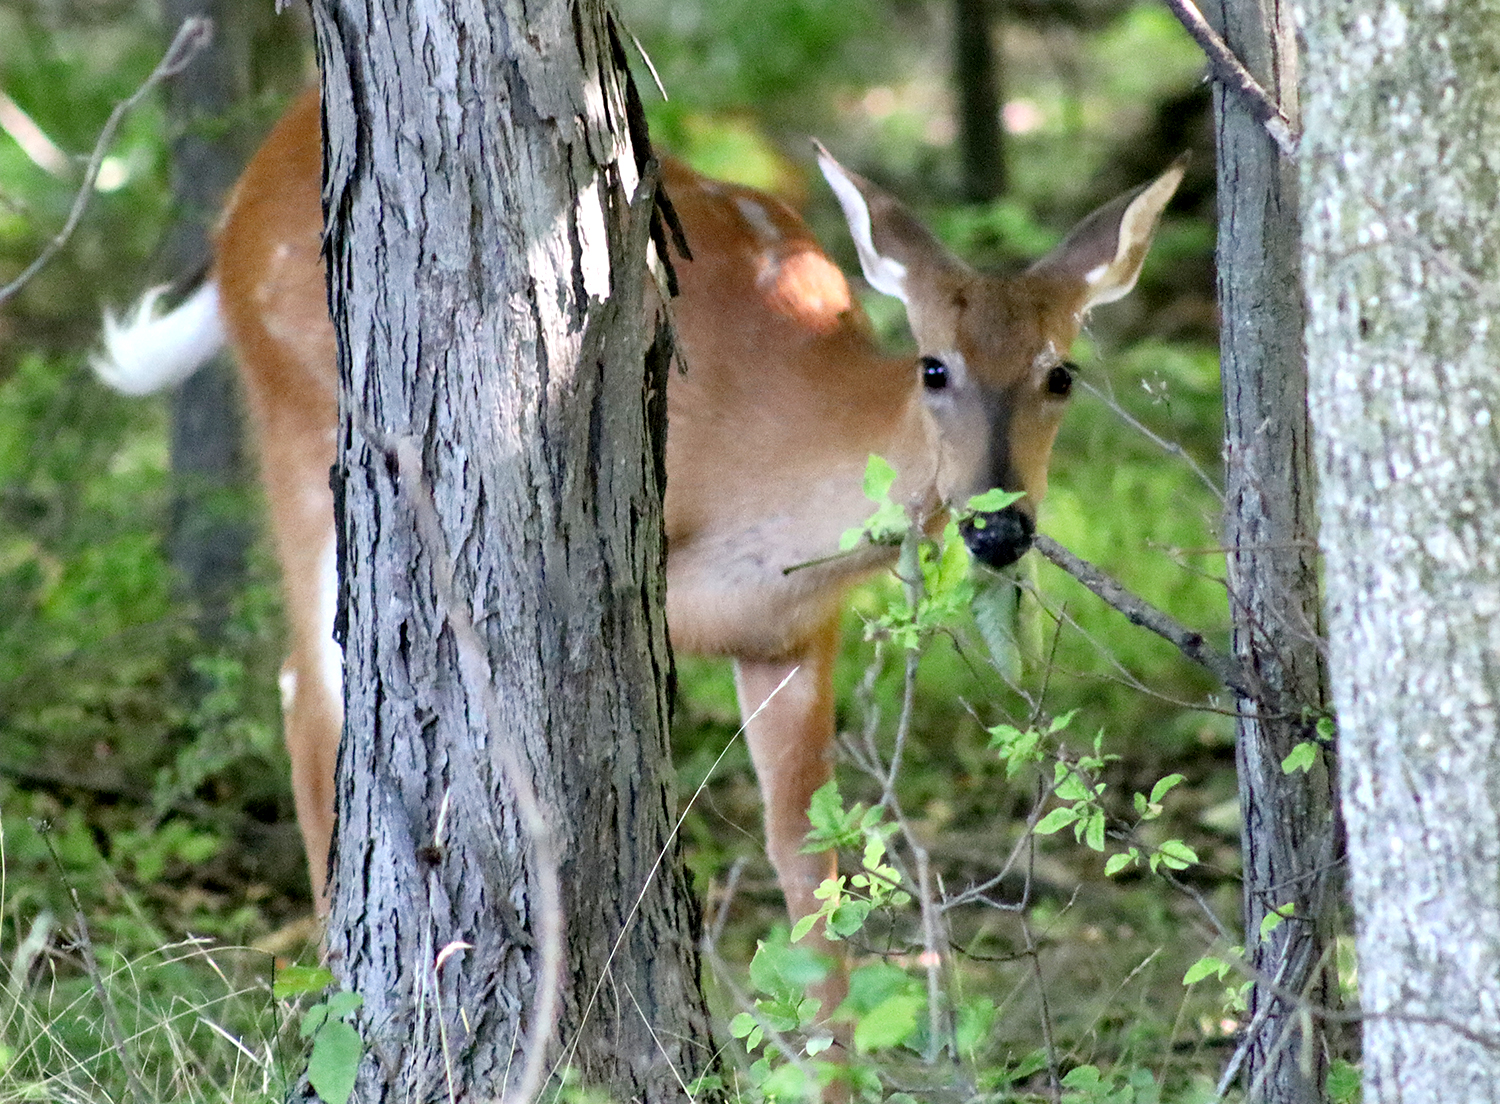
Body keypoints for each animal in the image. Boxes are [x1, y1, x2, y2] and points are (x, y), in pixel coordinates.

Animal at [95, 87, 1183, 1029]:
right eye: (934, 367)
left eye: (1061, 374)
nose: (1000, 526)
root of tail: (240, 197)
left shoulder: (792, 634)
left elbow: (810, 870)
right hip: (303, 428)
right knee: (309, 690)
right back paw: (330, 994)